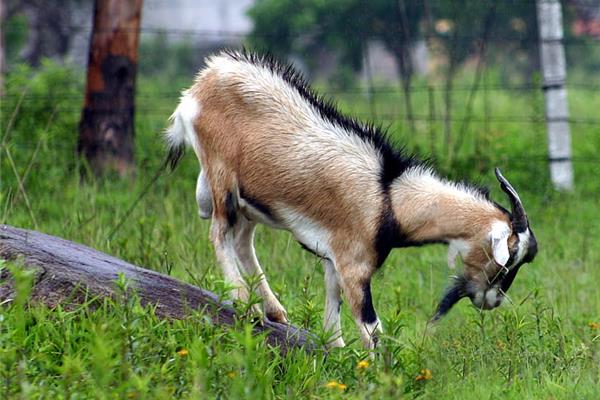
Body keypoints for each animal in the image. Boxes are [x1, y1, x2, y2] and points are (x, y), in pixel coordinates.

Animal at [165, 50, 540, 350]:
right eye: (508, 260)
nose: (492, 301)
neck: (391, 197)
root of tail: (199, 85)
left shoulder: (334, 261)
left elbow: (333, 318)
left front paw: (338, 360)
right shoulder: (354, 266)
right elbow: (372, 329)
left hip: (249, 201)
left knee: (242, 240)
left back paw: (275, 310)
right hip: (222, 178)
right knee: (219, 233)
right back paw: (247, 303)